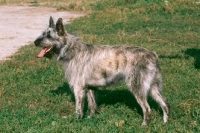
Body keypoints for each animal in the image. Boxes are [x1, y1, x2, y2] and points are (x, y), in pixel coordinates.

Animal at [34, 16, 169, 125]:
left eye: (49, 36)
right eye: (43, 33)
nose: (35, 42)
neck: (71, 49)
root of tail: (152, 55)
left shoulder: (79, 88)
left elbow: (78, 108)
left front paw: (77, 121)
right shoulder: (89, 88)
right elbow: (92, 105)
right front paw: (90, 118)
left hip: (138, 87)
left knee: (147, 109)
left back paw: (144, 125)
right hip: (153, 88)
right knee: (165, 104)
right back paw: (165, 122)